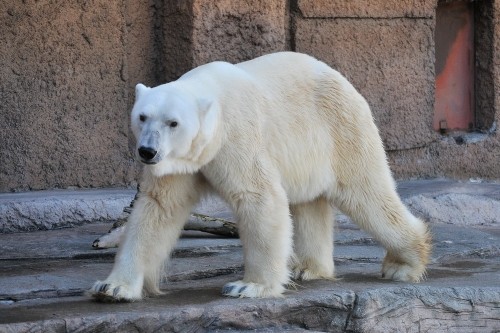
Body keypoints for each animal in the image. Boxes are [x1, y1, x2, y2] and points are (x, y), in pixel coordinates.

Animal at [89, 52, 430, 300]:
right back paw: (307, 268)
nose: (148, 151)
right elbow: (156, 209)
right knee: (309, 203)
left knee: (367, 194)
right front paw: (112, 287)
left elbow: (258, 196)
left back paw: (404, 264)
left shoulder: (236, 137)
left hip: (340, 129)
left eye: (173, 122)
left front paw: (249, 286)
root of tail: (343, 80)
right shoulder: (178, 163)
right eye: (142, 116)